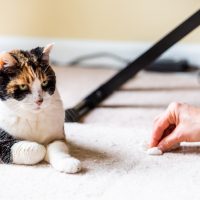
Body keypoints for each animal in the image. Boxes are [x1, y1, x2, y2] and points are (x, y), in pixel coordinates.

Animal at [0, 44, 82, 173]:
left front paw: (68, 162)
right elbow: (38, 149)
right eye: (23, 86)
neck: (34, 117)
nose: (39, 101)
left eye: (44, 82)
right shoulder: (2, 144)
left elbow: (57, 147)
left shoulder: (58, 135)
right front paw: (42, 149)